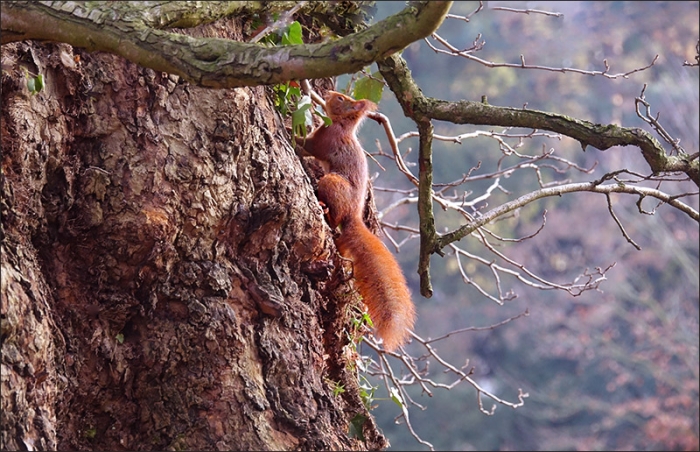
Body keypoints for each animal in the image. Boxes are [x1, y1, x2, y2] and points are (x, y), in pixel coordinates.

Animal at [298, 91, 416, 351]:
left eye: (341, 99)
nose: (328, 93)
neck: (341, 125)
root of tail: (353, 215)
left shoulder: (323, 141)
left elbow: (306, 146)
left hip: (332, 182)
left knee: (334, 219)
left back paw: (326, 210)